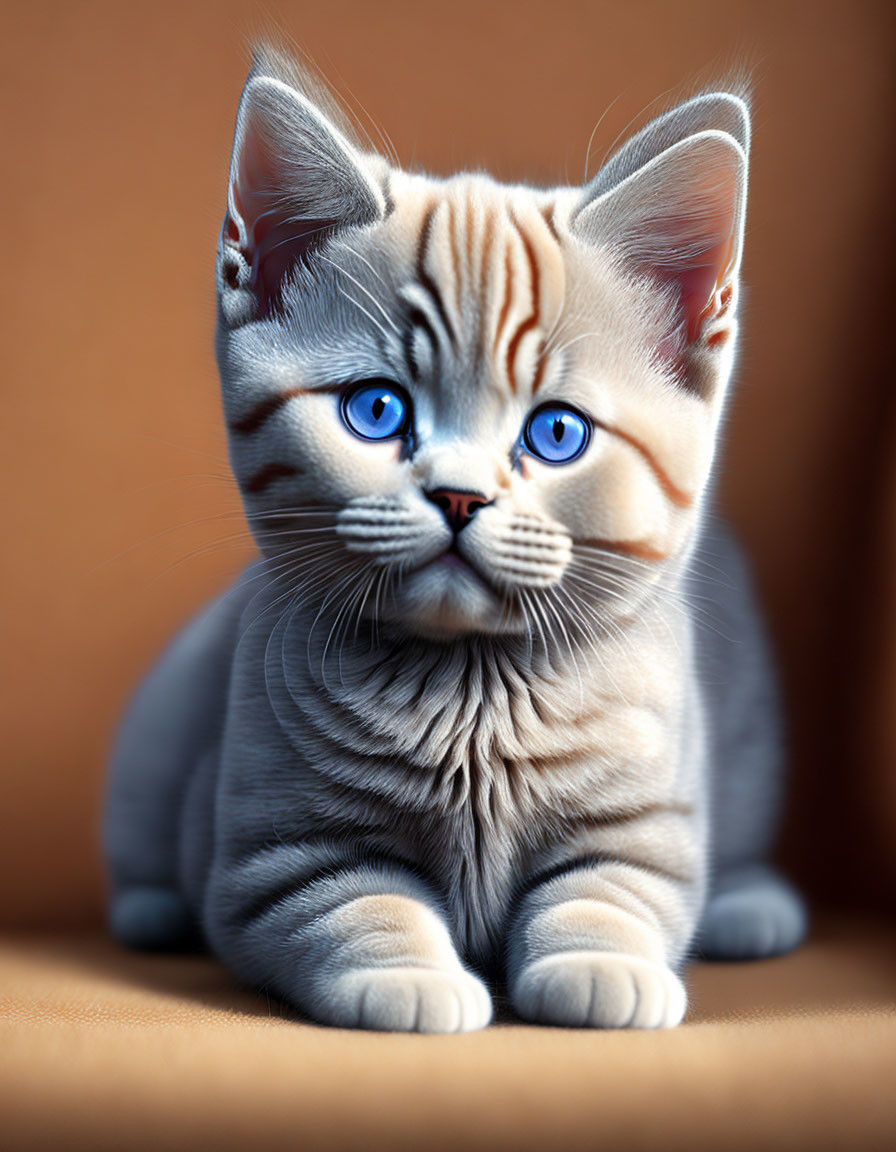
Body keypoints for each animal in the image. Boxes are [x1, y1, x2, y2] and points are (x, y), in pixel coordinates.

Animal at [103, 49, 801, 1032]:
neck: (472, 689)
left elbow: (612, 892)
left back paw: (749, 905)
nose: (460, 495)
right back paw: (152, 907)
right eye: (377, 410)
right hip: (164, 719)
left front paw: (602, 967)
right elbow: (353, 904)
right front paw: (408, 978)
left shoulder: (643, 826)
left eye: (556, 433)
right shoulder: (277, 855)